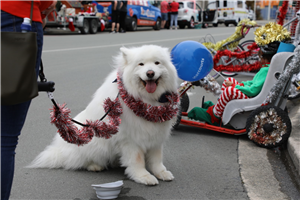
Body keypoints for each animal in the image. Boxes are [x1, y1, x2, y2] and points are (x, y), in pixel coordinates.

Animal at [28, 44, 178, 185]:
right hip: (92, 142)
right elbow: (137, 160)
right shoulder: (130, 140)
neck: (147, 100)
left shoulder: (155, 136)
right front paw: (143, 176)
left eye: (157, 63)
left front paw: (161, 173)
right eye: (141, 64)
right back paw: (94, 166)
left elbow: (156, 159)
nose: (150, 73)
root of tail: (62, 151)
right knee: (81, 161)